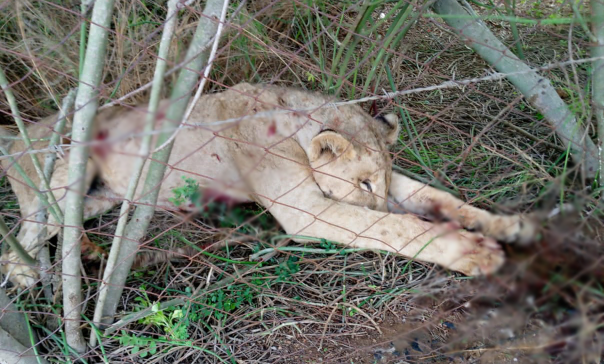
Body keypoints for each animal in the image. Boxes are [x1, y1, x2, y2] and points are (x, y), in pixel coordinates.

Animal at [0, 82, 536, 288]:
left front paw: (509, 226)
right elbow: (392, 229)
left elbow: (436, 199)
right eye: (362, 184)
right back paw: (31, 277)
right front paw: (474, 252)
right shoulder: (304, 210)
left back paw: (88, 254)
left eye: (379, 182)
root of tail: (15, 135)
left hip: (100, 198)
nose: (382, 202)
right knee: (20, 240)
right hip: (62, 176)